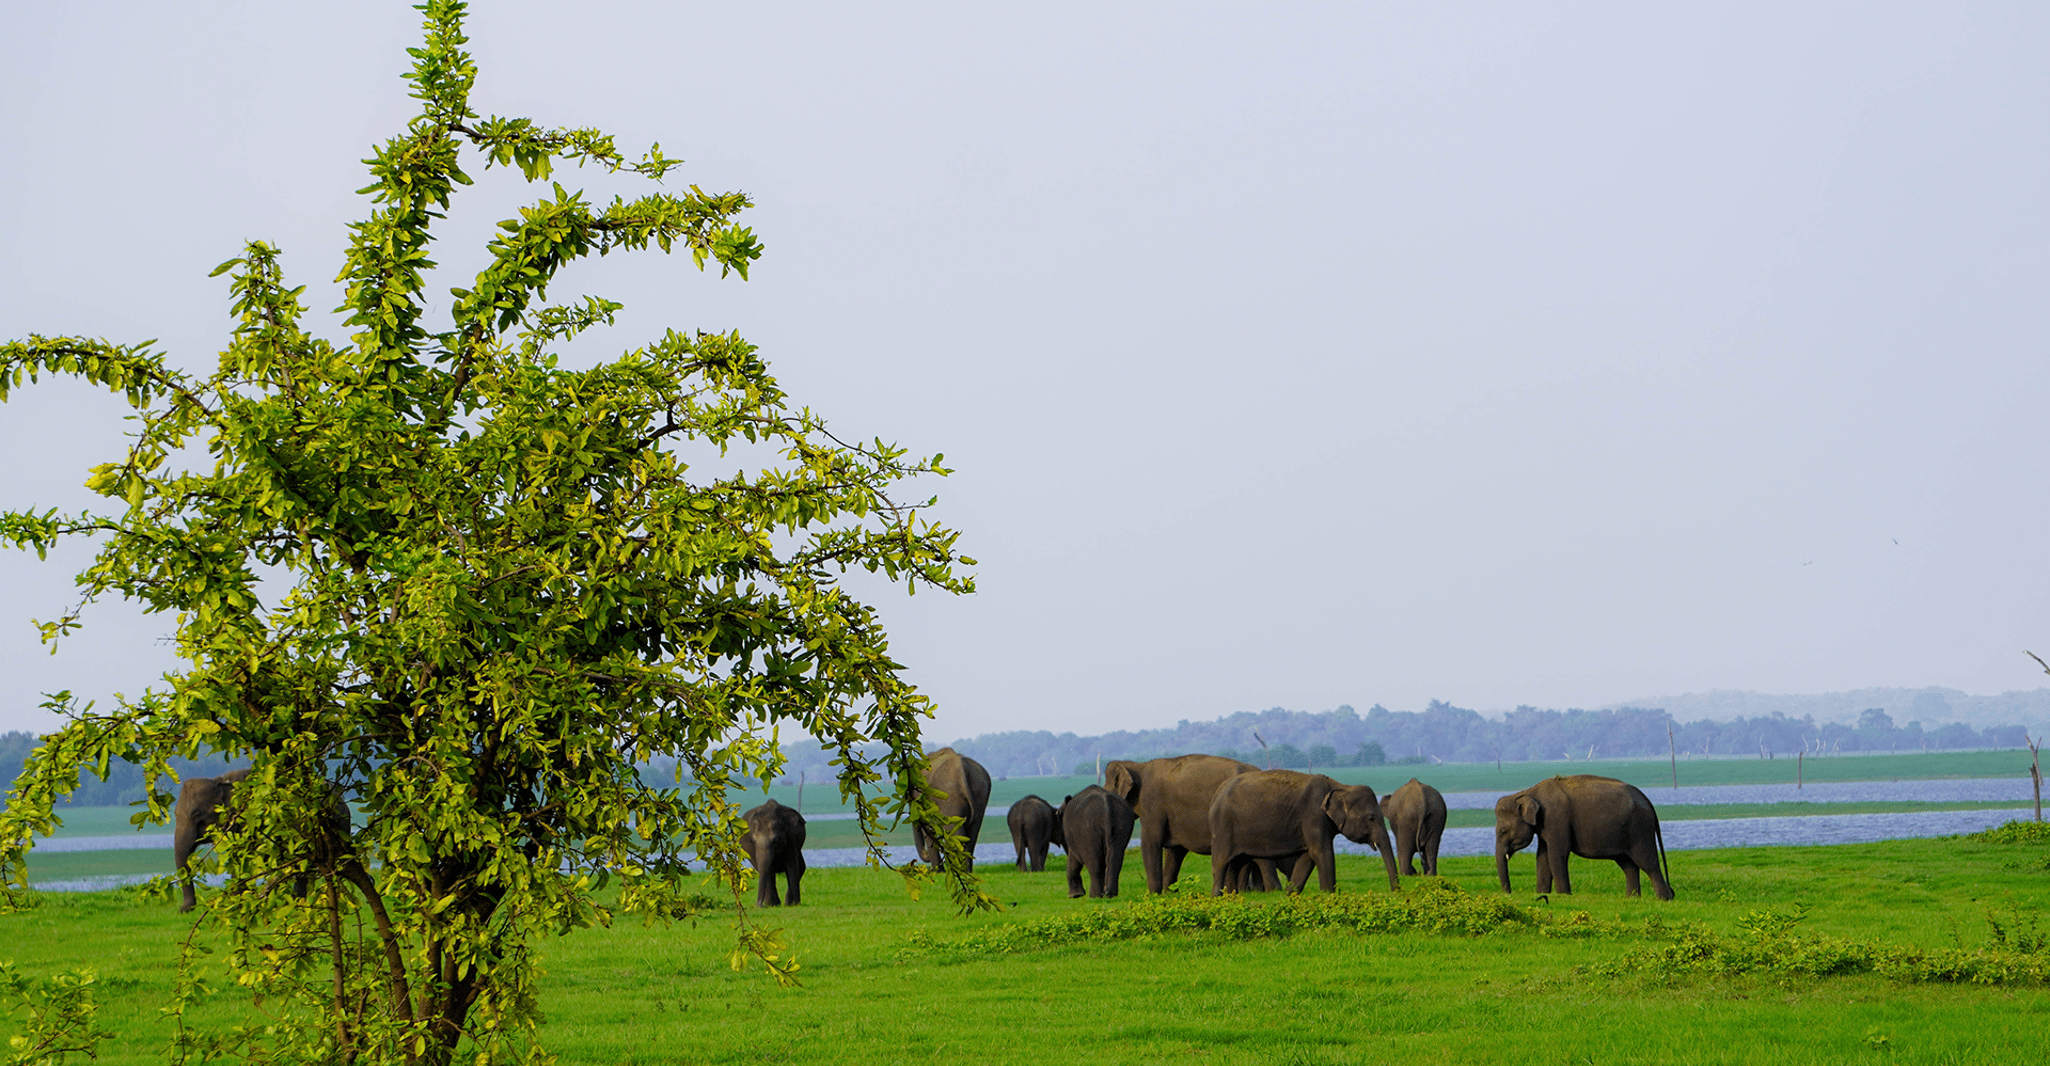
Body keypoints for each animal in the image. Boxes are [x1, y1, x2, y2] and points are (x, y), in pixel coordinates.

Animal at [178, 770, 354, 910]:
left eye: (195, 814)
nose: (186, 909)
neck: (219, 780)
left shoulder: (247, 818)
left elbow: (242, 856)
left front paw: (238, 902)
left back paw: (293, 902)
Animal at [1115, 754, 1271, 893]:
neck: (1138, 766)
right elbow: (1175, 850)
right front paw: (1170, 893)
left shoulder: (1152, 804)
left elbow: (1151, 842)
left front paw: (1154, 894)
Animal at [1205, 770, 1402, 893]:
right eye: (1371, 818)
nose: (1394, 891)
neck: (1341, 786)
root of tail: (1216, 794)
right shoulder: (1313, 816)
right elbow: (1321, 853)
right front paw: (1329, 895)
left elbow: (1307, 858)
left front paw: (1289, 894)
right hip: (1222, 828)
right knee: (1221, 863)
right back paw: (1217, 896)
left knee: (1236, 863)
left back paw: (1231, 896)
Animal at [1500, 774, 1672, 897]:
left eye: (1502, 831)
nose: (1509, 893)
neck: (1528, 792)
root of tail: (1647, 800)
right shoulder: (1545, 825)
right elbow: (1542, 855)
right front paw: (1542, 894)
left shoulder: (1556, 819)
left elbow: (1557, 853)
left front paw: (1564, 895)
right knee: (1628, 865)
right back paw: (1632, 898)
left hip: (1640, 830)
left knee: (1648, 863)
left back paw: (1664, 898)